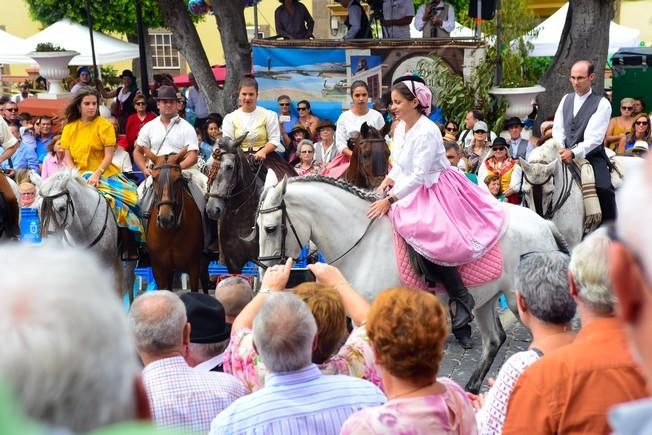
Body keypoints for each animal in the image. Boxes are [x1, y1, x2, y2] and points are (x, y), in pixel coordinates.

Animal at [143, 149, 209, 292]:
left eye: (178, 179)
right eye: (154, 178)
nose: (165, 218)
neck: (171, 232)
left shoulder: (193, 266)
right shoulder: (159, 270)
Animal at [258, 175, 568, 396]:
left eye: (271, 228)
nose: (266, 273)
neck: (364, 244)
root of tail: (545, 224)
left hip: (517, 299)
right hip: (487, 298)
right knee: (494, 340)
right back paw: (471, 388)